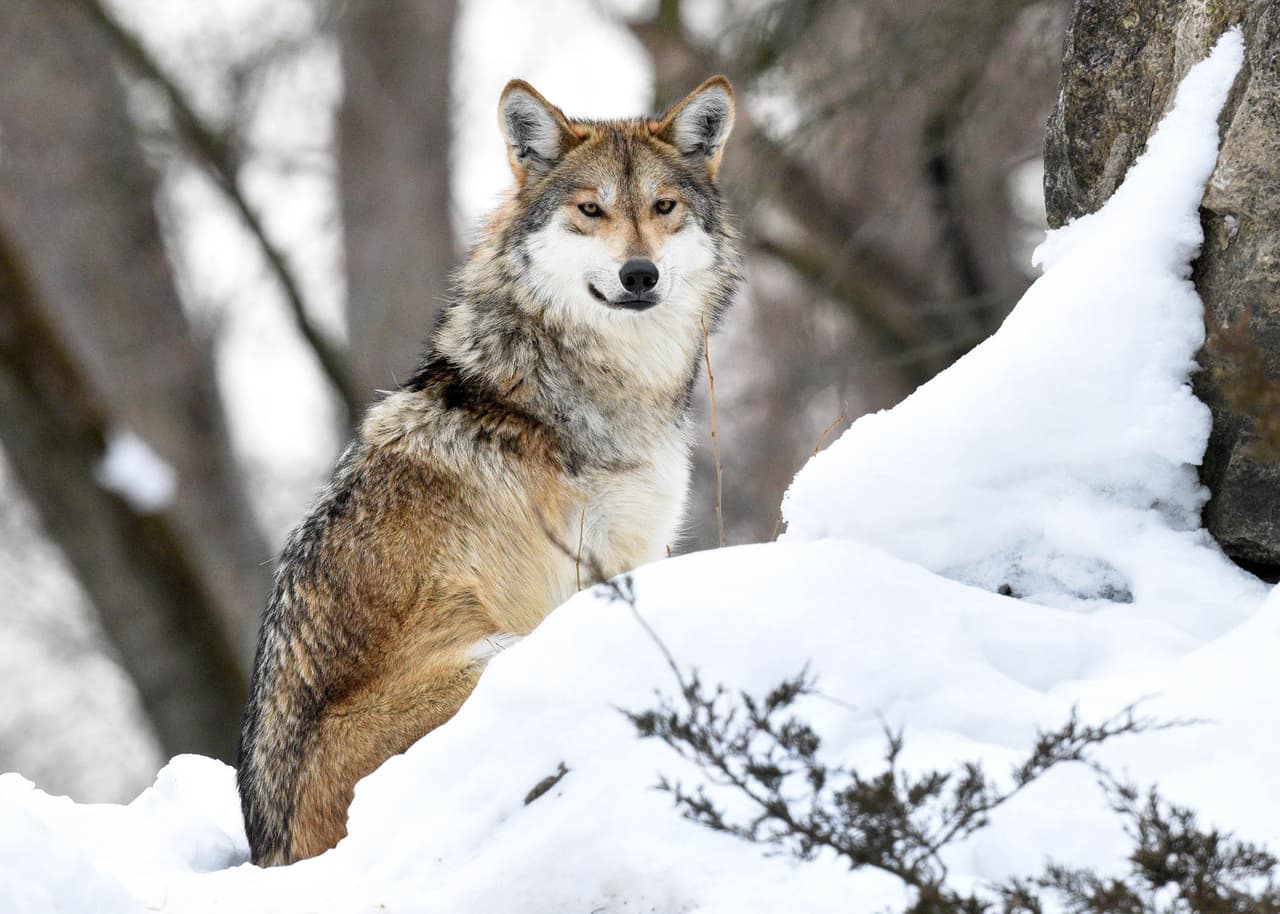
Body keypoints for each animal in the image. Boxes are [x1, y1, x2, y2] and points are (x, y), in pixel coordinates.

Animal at [236, 75, 742, 866]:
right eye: (590, 209)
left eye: (664, 207)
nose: (639, 274)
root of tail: (276, 855)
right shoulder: (586, 574)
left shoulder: (643, 549)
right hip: (500, 653)